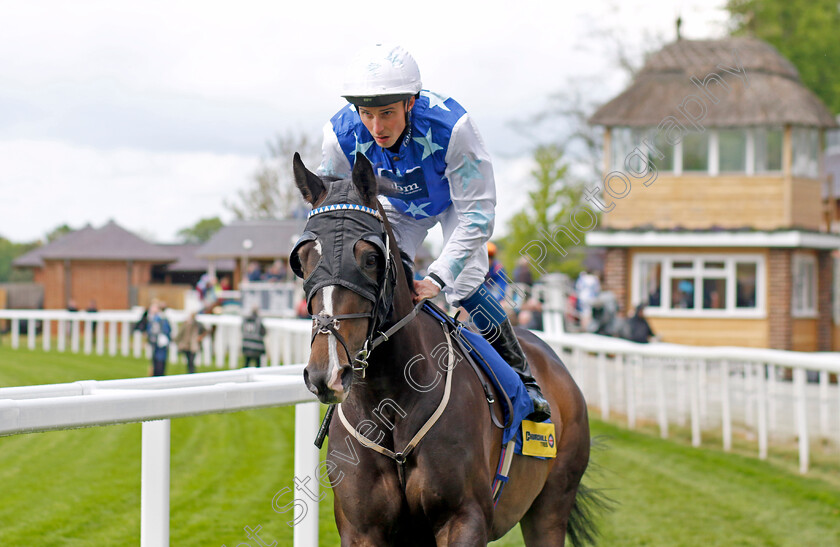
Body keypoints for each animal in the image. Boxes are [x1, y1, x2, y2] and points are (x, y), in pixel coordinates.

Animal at [292, 152, 592, 544]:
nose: (325, 372)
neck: (389, 403)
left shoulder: (463, 519)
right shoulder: (361, 529)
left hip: (551, 506)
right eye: (303, 259)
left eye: (370, 258)